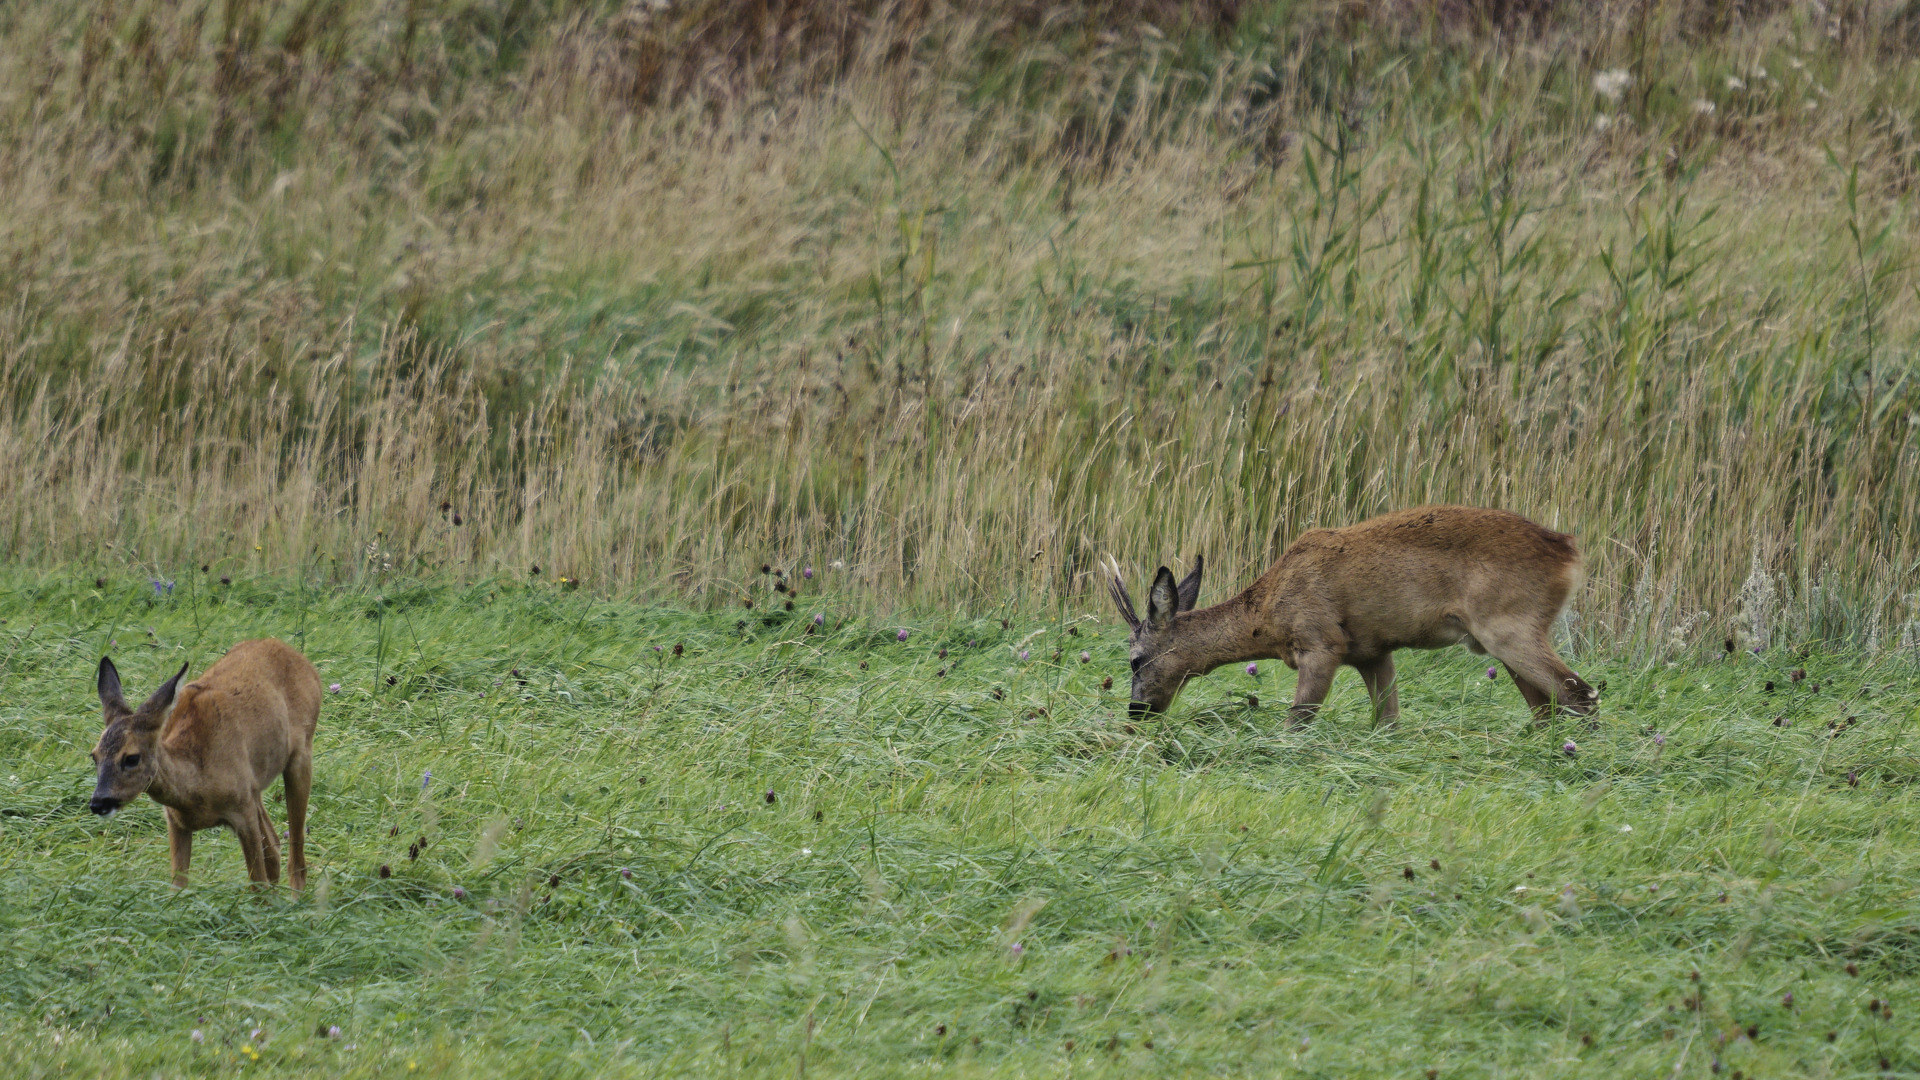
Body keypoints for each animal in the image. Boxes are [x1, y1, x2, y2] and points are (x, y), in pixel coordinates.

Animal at [90, 638, 320, 883]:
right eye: (94, 755)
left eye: (131, 758)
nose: (98, 803)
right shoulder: (176, 822)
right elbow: (178, 885)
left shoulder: (243, 812)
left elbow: (258, 884)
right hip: (255, 786)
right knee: (274, 846)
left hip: (301, 755)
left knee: (295, 855)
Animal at [1105, 503, 1597, 722]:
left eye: (1135, 660)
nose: (1136, 711)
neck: (1267, 616)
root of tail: (1570, 550)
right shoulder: (1372, 651)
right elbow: (1387, 721)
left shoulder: (1322, 641)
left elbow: (1298, 719)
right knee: (1547, 706)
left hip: (1510, 624)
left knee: (1580, 695)